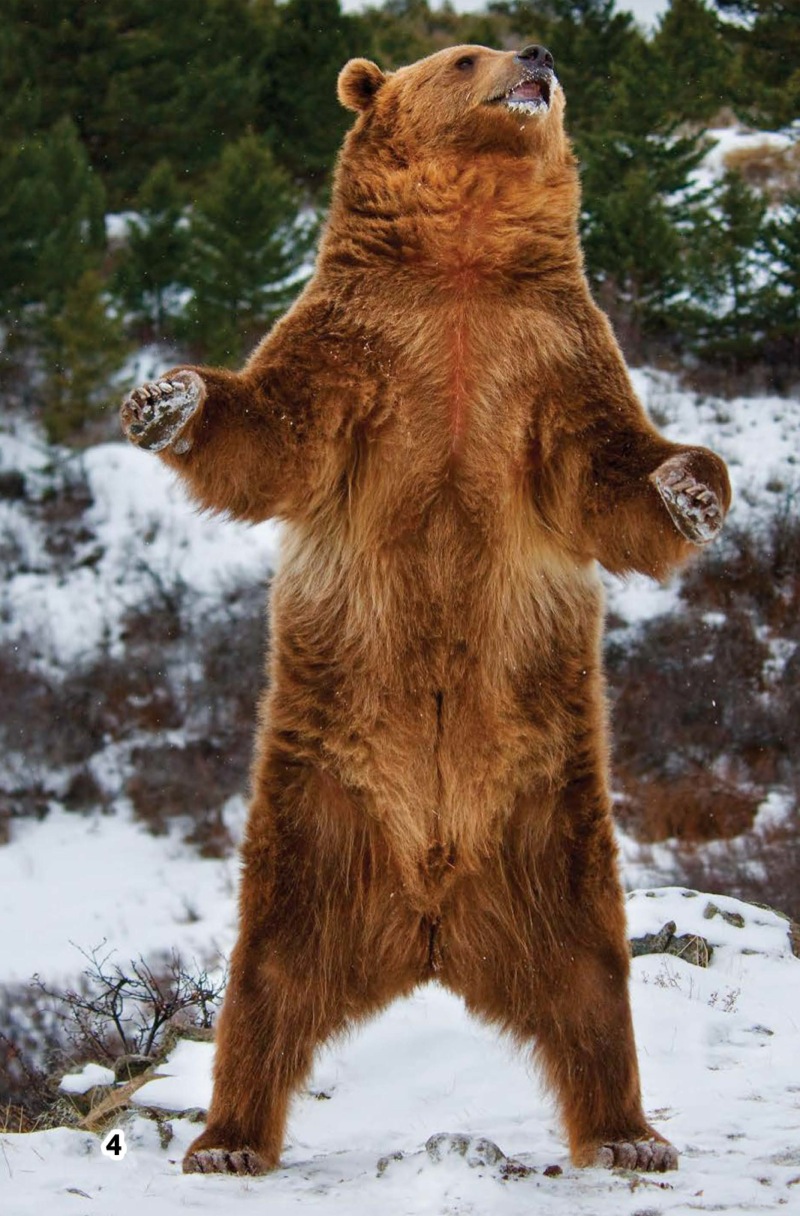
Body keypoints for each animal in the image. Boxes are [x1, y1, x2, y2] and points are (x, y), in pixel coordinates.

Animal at [120, 42, 730, 1176]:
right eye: (462, 55)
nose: (538, 54)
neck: (461, 271)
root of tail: (434, 922)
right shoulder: (357, 347)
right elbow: (272, 433)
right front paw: (165, 396)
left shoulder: (551, 363)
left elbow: (610, 472)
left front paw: (692, 485)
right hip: (316, 815)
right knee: (266, 979)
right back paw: (228, 1137)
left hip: (555, 827)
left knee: (592, 984)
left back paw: (629, 1133)